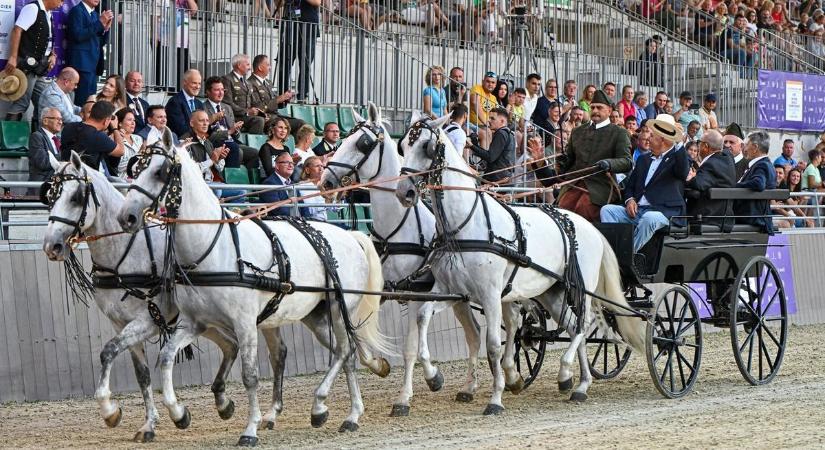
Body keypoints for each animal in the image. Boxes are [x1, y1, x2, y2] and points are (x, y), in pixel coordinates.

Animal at [40, 153, 282, 442]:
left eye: (76, 197)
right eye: (50, 196)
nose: (51, 246)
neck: (125, 253)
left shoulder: (147, 320)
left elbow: (108, 351)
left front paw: (111, 411)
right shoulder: (121, 324)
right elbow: (141, 374)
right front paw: (147, 424)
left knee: (275, 353)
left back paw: (268, 413)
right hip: (209, 320)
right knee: (232, 345)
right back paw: (225, 404)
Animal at [116, 131, 392, 446]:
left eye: (159, 172)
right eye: (136, 168)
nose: (126, 216)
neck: (214, 246)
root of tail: (350, 235)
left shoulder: (245, 323)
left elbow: (250, 375)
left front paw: (250, 429)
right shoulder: (194, 323)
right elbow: (165, 357)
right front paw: (179, 413)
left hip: (338, 305)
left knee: (345, 351)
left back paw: (336, 409)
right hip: (315, 315)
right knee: (345, 353)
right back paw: (337, 410)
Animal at [318, 103, 482, 416]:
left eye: (362, 144)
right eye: (341, 139)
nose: (326, 181)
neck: (396, 227)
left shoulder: (417, 293)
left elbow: (410, 347)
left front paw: (410, 393)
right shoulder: (382, 291)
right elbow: (359, 334)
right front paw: (379, 365)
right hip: (460, 298)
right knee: (474, 332)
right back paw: (469, 386)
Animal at [396, 113, 648, 414]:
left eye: (426, 146)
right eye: (402, 145)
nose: (404, 192)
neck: (465, 226)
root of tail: (590, 227)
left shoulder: (491, 295)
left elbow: (493, 345)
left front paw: (495, 399)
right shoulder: (453, 291)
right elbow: (423, 316)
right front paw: (433, 377)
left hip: (580, 288)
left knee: (584, 324)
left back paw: (567, 372)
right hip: (552, 292)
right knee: (573, 325)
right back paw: (579, 383)